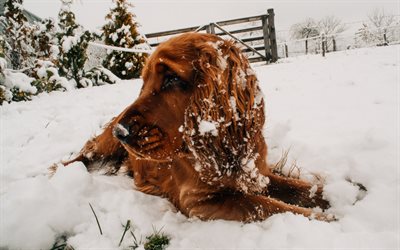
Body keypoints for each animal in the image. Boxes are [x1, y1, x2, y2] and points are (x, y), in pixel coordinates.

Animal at [65, 32, 330, 222]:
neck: (222, 149)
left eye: (171, 78)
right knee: (81, 154)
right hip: (101, 146)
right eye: (144, 81)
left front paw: (330, 197)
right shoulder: (201, 201)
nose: (120, 132)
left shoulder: (258, 174)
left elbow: (299, 188)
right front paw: (324, 218)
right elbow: (266, 205)